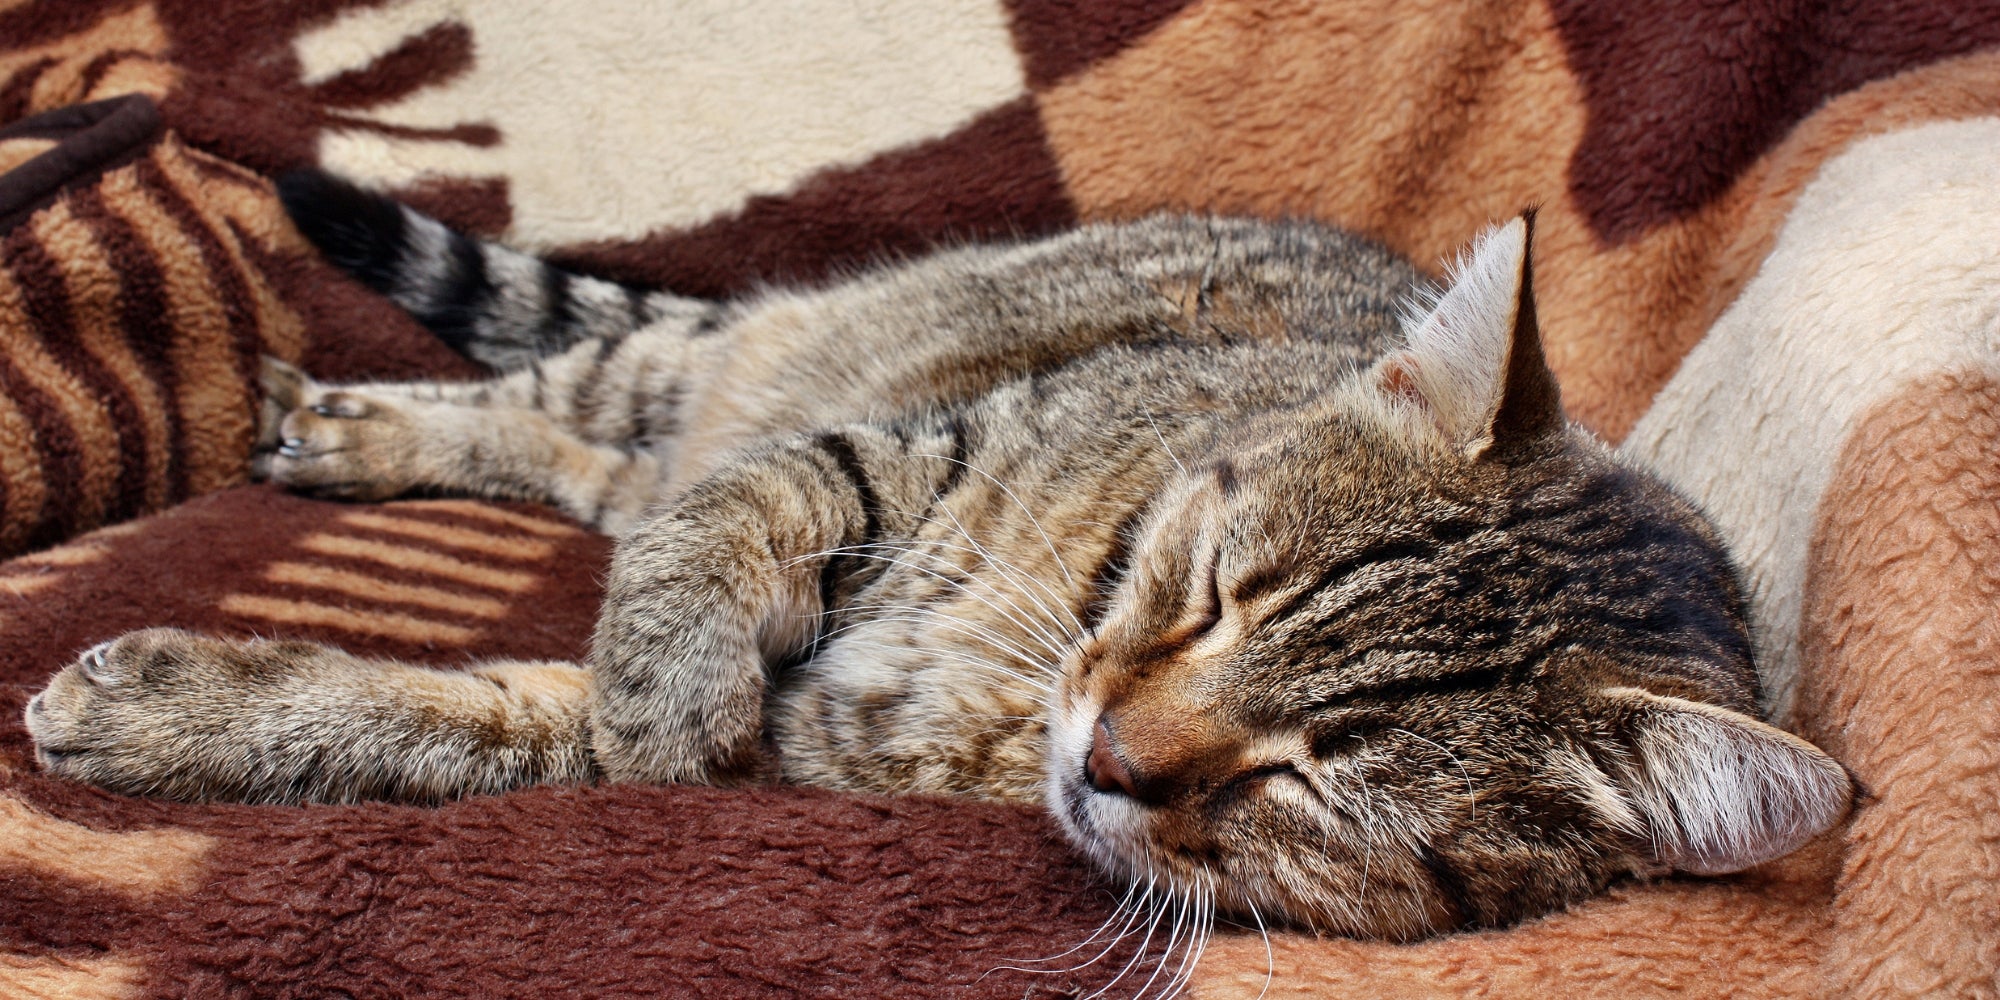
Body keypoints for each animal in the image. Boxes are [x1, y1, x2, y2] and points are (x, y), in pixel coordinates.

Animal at [23, 176, 1848, 940]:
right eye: (1211, 591)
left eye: (1308, 784)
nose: (1106, 756)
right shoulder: (905, 449)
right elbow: (724, 530)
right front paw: (666, 678)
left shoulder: (810, 743)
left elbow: (481, 719)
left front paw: (182, 714)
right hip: (721, 359)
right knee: (584, 423)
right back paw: (347, 425)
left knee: (605, 471)